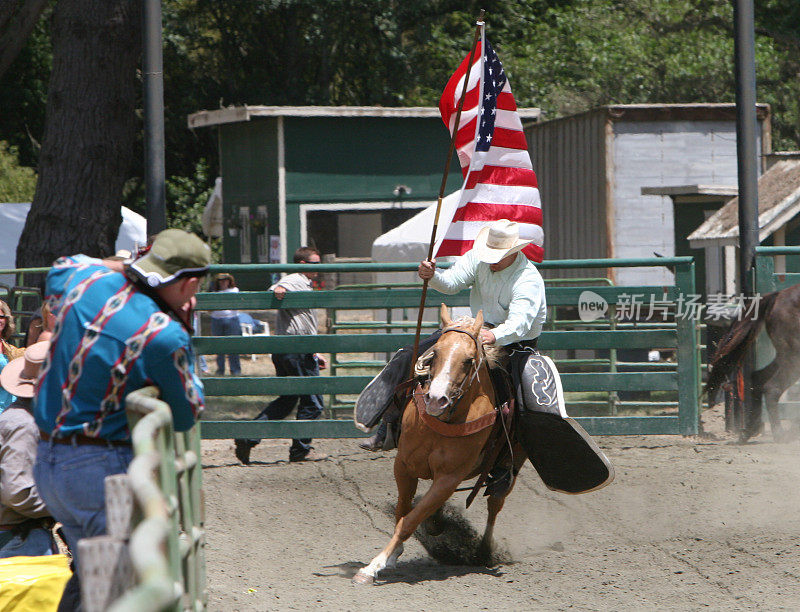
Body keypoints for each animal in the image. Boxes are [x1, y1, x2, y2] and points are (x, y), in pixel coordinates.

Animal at [352, 304, 524, 584]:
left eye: (469, 360)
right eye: (435, 354)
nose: (435, 399)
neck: (443, 421)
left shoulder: (448, 478)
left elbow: (409, 520)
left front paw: (373, 566)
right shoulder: (403, 466)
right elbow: (403, 511)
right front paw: (392, 555)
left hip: (511, 467)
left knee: (494, 505)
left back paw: (483, 551)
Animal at [708, 284, 800, 442]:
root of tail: (778, 296)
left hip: (784, 356)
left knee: (758, 378)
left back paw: (750, 430)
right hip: (794, 357)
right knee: (772, 388)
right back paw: (780, 435)